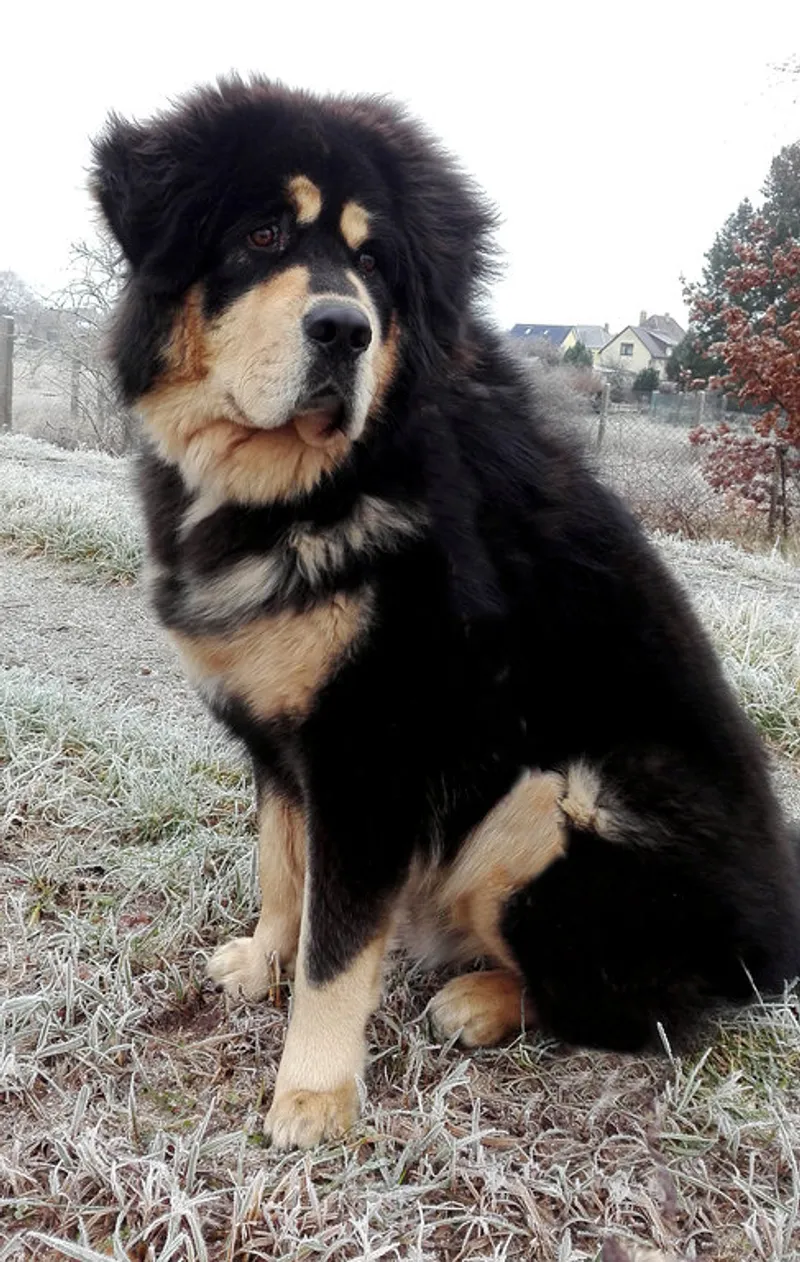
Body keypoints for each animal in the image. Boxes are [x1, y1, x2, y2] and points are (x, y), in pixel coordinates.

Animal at [92, 76, 800, 1150]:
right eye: (261, 235)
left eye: (373, 263)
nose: (344, 330)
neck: (309, 483)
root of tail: (775, 946)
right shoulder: (284, 742)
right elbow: (280, 868)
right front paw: (262, 959)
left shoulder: (372, 754)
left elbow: (337, 948)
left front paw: (313, 1095)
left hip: (563, 796)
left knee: (648, 1007)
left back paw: (483, 1000)